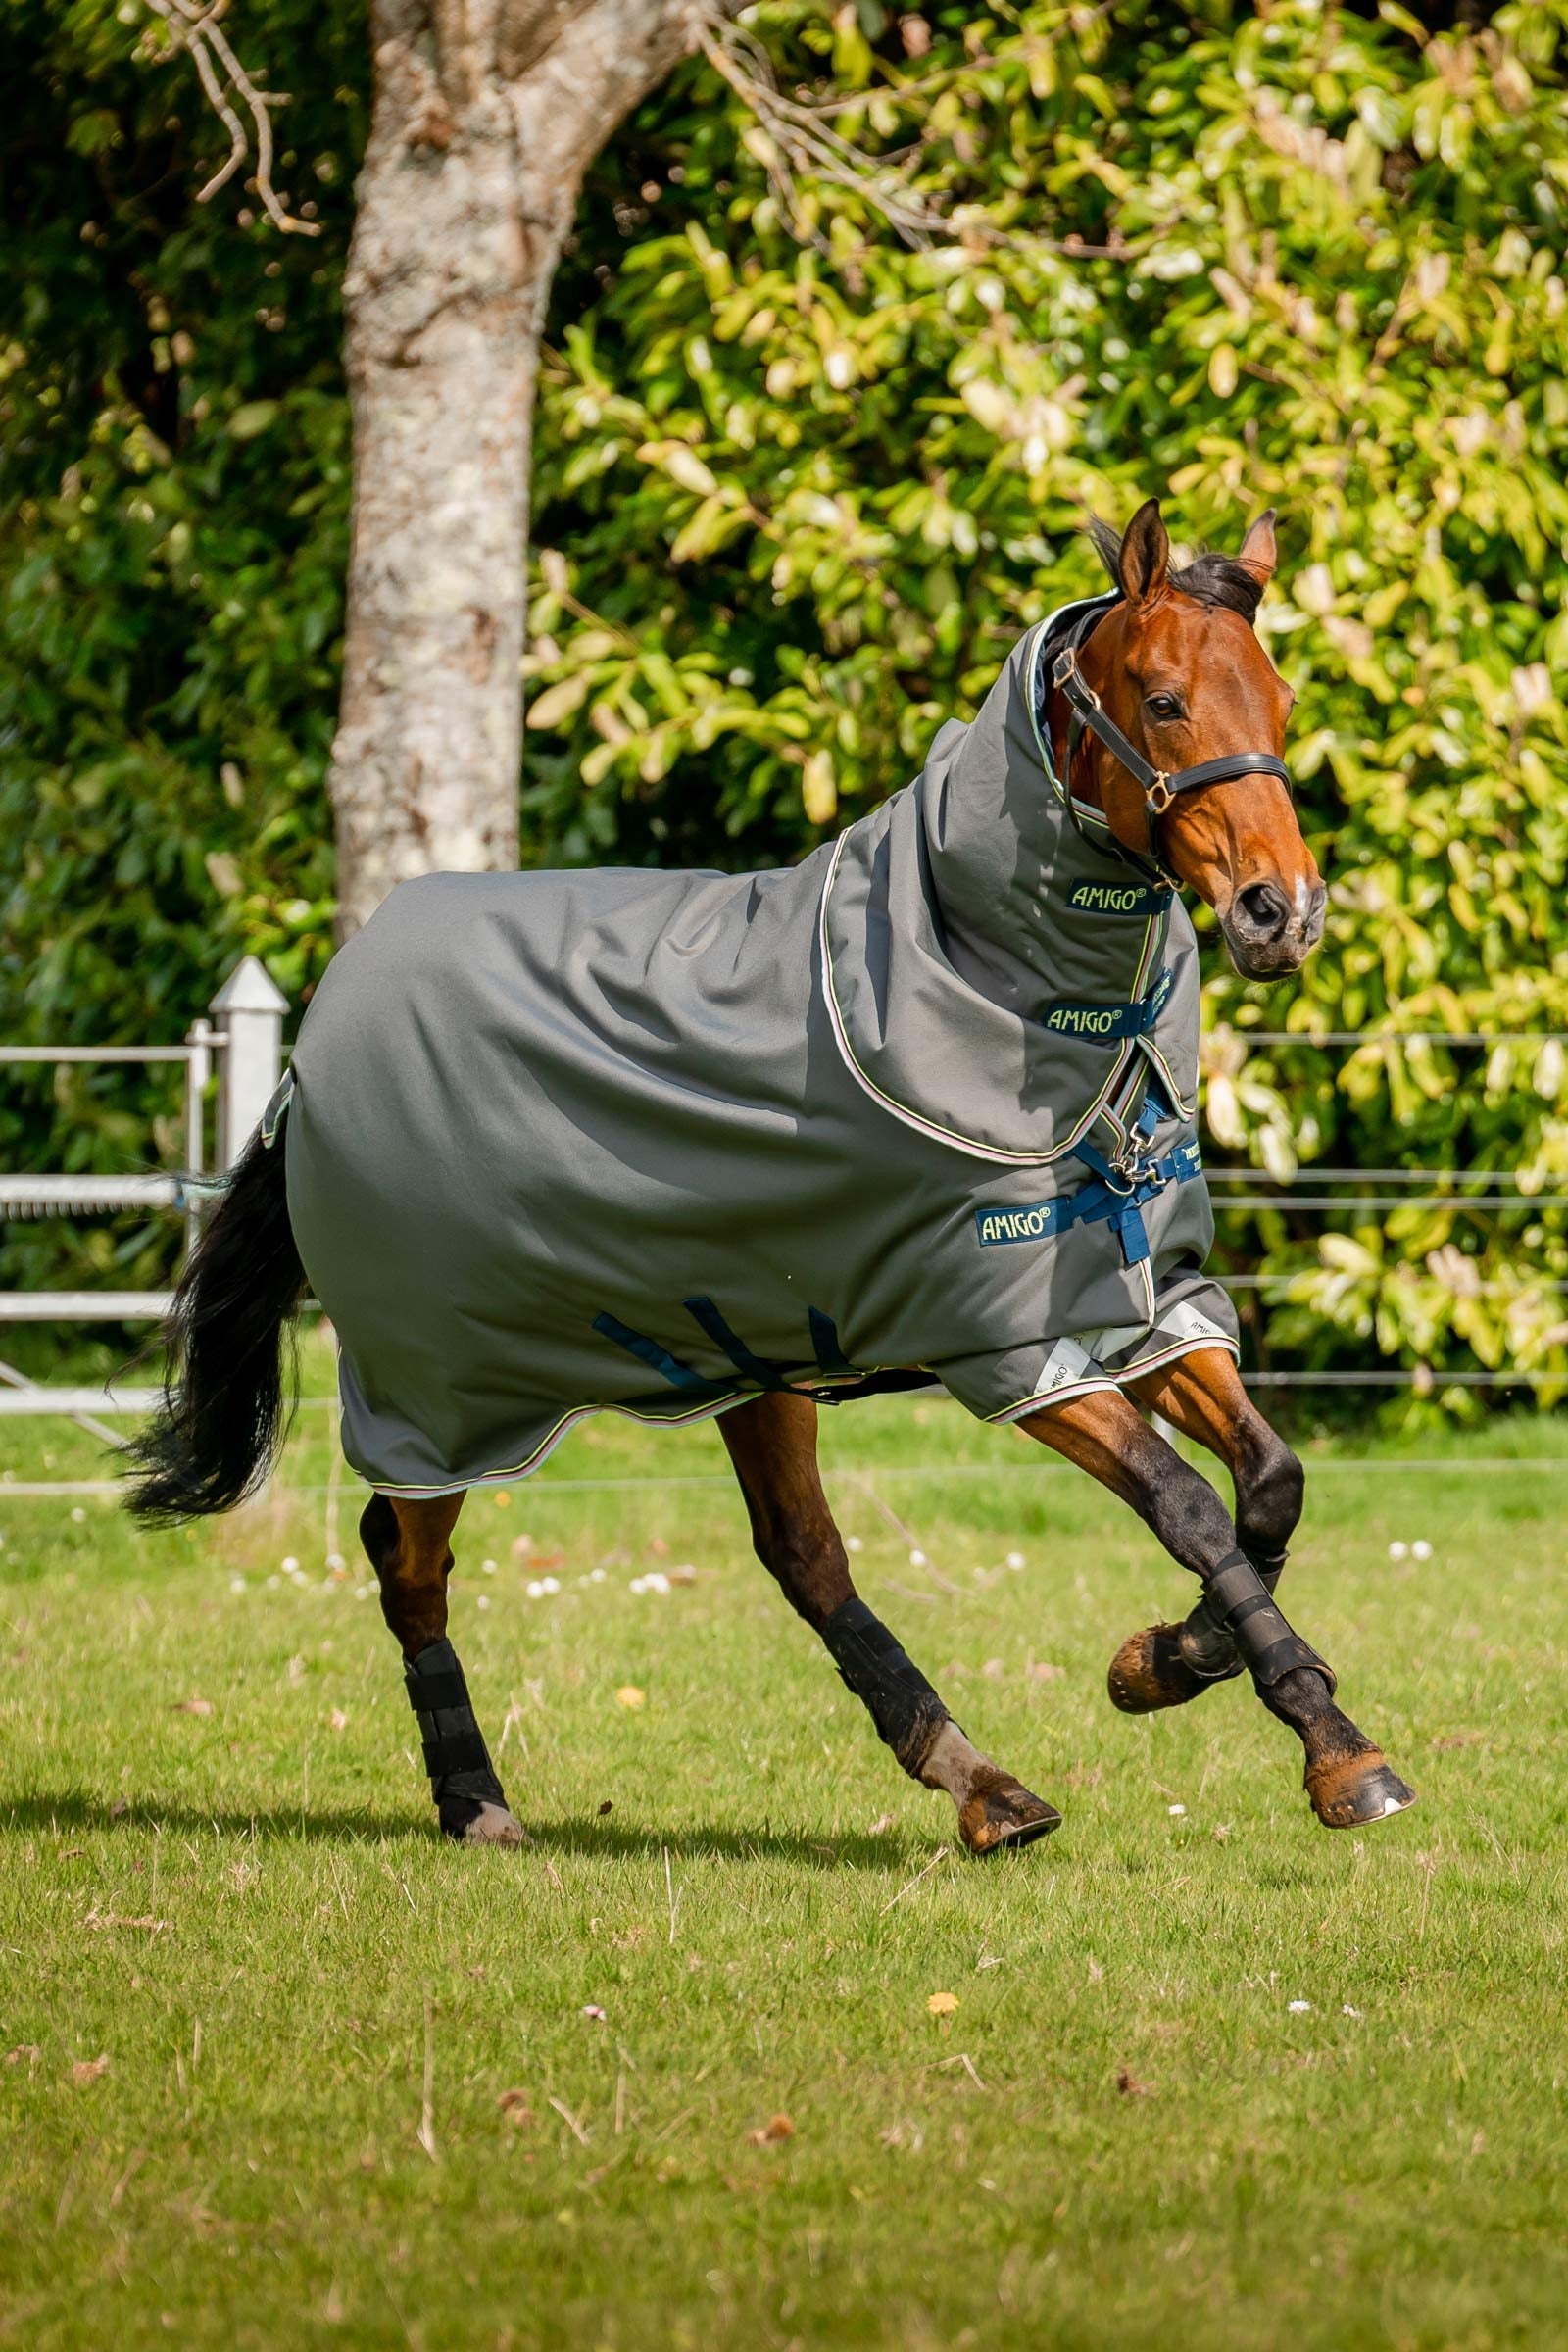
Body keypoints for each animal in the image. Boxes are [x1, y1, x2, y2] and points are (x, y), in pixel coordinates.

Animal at [127, 499, 1415, 1852]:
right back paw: (476, 1802)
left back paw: (982, 1787)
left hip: (751, 1359)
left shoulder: (1143, 1309)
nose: (1284, 912)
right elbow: (1189, 1507)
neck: (1017, 1004)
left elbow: (1269, 1487)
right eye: (1164, 700)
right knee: (405, 1556)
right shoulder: (1010, 1346)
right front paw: (1330, 1748)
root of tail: (313, 1045)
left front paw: (1165, 1664)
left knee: (801, 1555)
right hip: (442, 1387)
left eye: (1277, 700)